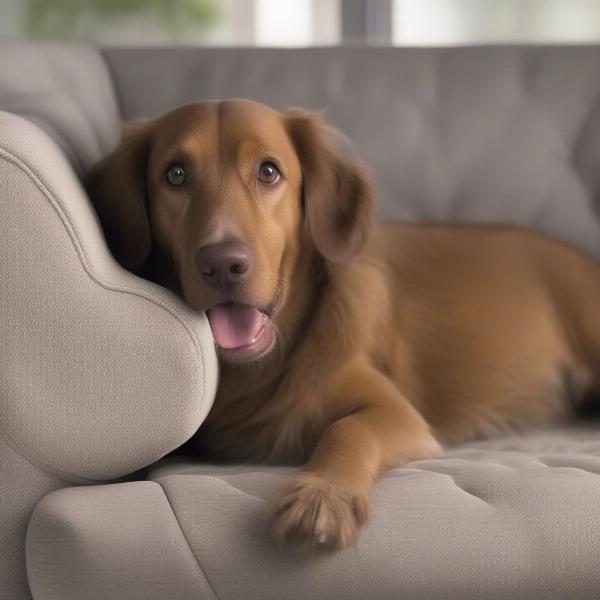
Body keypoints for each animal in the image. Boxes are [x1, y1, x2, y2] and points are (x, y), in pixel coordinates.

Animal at [85, 99, 600, 552]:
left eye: (268, 171)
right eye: (175, 174)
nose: (223, 264)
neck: (263, 363)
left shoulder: (395, 411)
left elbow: (348, 430)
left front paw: (321, 494)